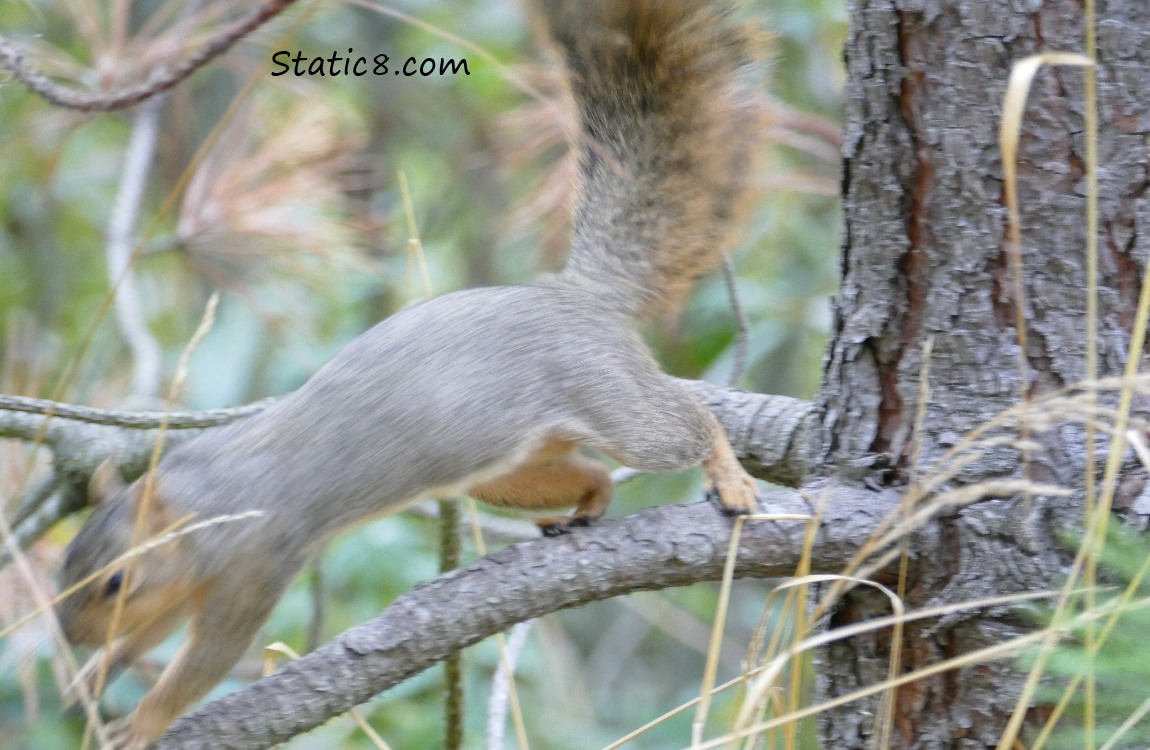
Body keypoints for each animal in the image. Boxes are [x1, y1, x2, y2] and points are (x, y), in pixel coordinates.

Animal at [54, 2, 763, 745]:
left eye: (115, 582)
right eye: (62, 569)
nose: (72, 637)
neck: (205, 501)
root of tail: (574, 296)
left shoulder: (257, 560)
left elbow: (207, 661)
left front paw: (141, 718)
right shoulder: (192, 578)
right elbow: (158, 629)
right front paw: (101, 671)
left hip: (610, 396)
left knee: (686, 424)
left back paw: (730, 477)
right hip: (506, 472)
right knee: (590, 470)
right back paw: (586, 505)